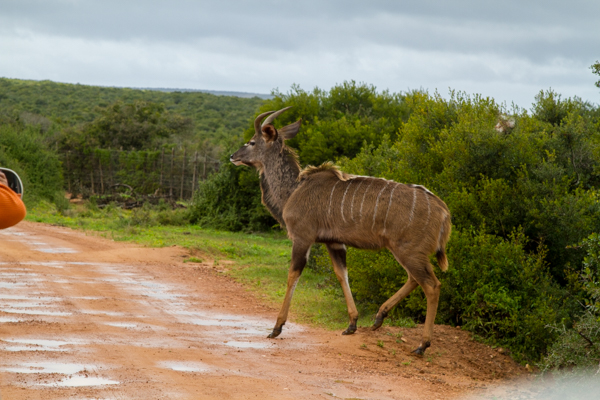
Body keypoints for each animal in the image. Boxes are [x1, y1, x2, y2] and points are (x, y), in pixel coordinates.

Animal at [230, 107, 450, 356]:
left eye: (252, 141)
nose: (233, 156)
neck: (293, 190)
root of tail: (443, 211)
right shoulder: (334, 242)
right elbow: (341, 274)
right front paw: (352, 324)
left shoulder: (302, 238)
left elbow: (292, 275)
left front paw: (276, 328)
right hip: (408, 252)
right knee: (415, 278)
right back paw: (378, 318)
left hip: (408, 250)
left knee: (432, 285)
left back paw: (422, 344)